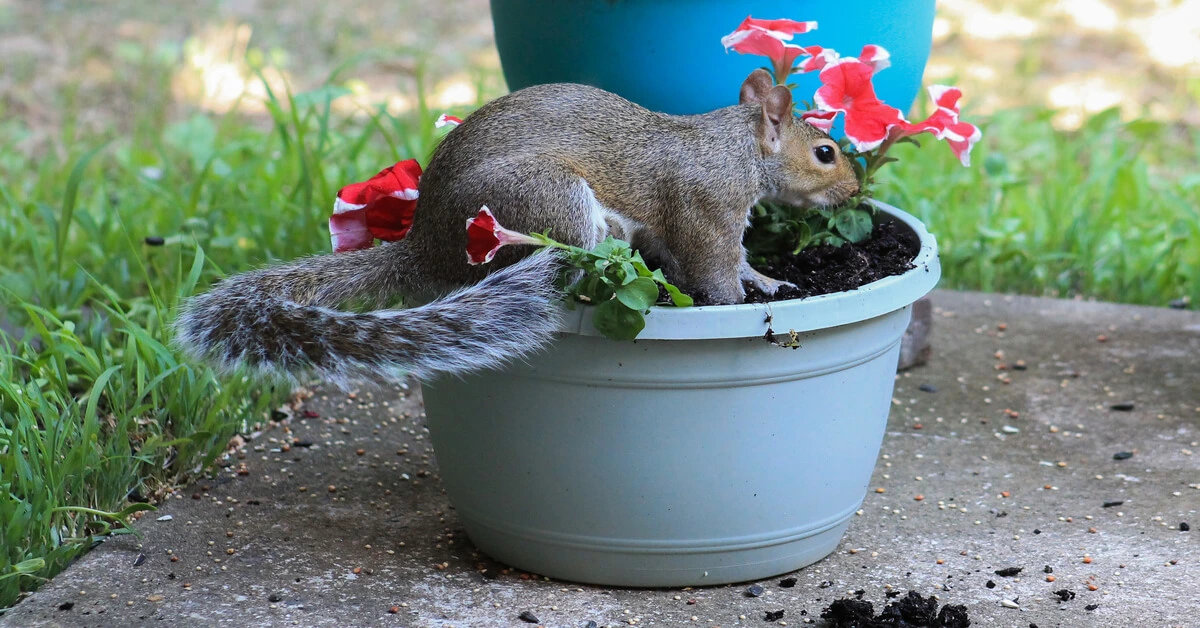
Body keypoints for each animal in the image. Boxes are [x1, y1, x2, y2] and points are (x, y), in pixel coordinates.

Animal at [174, 69, 859, 384]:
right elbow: (714, 269)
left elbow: (737, 260)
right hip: (549, 201)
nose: (856, 189)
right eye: (825, 152)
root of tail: (424, 247)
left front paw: (770, 282)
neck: (733, 147)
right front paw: (736, 304)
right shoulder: (705, 209)